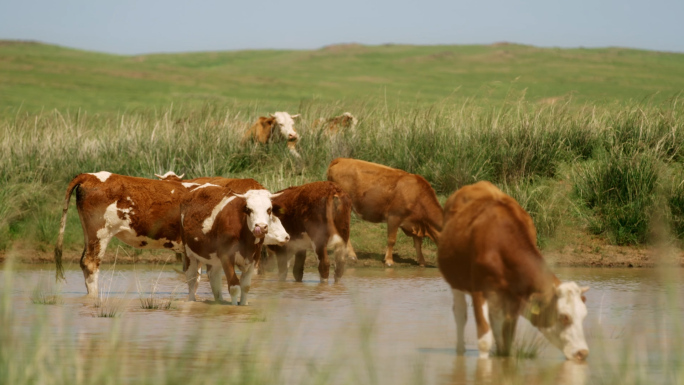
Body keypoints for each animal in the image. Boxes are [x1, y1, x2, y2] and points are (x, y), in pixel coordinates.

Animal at [440, 181, 592, 360]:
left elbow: (506, 341)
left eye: (584, 315)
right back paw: (460, 349)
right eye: (564, 317)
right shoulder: (479, 291)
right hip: (456, 281)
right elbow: (484, 340)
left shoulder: (514, 298)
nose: (582, 352)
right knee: (460, 314)